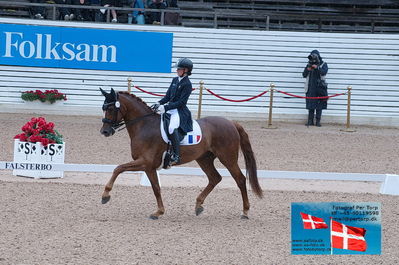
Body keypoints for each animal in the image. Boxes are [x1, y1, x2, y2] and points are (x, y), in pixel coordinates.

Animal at [99, 87, 264, 218]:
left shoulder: (145, 162)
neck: (144, 125)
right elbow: (156, 188)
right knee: (215, 178)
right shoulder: (149, 167)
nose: (104, 132)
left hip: (227, 158)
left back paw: (245, 211)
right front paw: (159, 211)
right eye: (103, 108)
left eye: (111, 109)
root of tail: (231, 122)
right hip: (204, 159)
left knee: (240, 179)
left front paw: (106, 195)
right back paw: (198, 205)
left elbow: (118, 168)